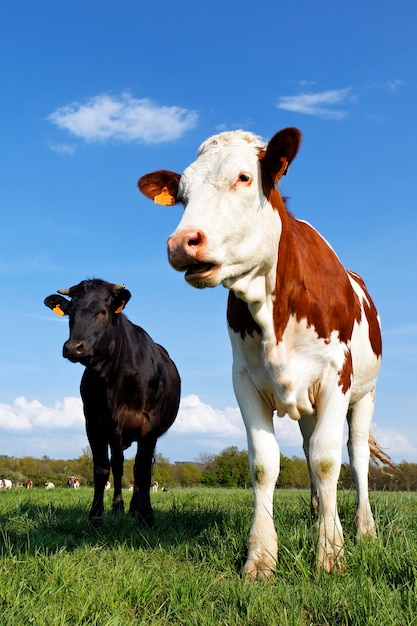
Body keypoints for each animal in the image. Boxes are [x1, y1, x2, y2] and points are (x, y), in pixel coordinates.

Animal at [44, 278, 180, 528]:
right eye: (70, 312)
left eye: (103, 311)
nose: (73, 347)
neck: (114, 380)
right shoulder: (94, 424)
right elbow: (102, 469)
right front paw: (96, 517)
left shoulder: (148, 426)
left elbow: (142, 470)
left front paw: (146, 517)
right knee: (118, 465)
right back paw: (118, 508)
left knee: (138, 469)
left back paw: (135, 508)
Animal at [138, 127, 392, 576]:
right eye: (182, 194)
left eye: (244, 177)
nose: (182, 243)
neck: (273, 305)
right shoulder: (244, 380)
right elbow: (264, 464)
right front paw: (260, 557)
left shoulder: (335, 377)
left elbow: (328, 460)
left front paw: (331, 552)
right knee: (308, 448)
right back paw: (317, 513)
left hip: (365, 394)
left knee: (357, 455)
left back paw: (363, 528)